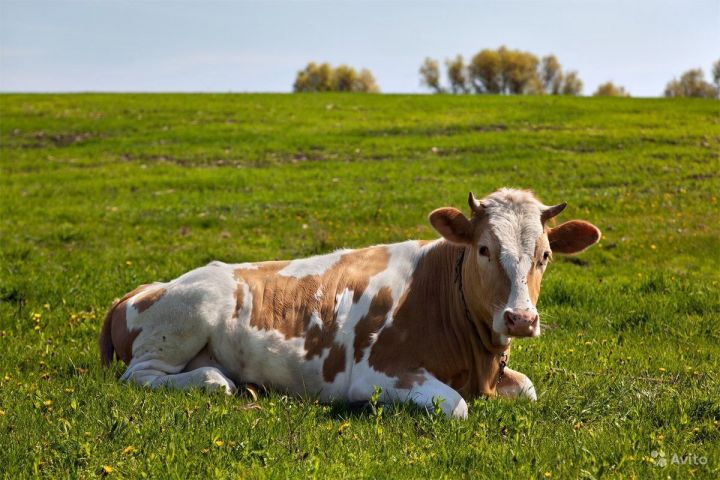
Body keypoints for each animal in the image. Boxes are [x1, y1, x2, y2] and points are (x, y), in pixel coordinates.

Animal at [98, 189, 600, 418]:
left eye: (545, 255)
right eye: (483, 250)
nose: (520, 318)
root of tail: (140, 289)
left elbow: (529, 388)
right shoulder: (379, 372)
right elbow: (456, 406)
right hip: (188, 317)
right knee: (144, 376)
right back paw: (218, 379)